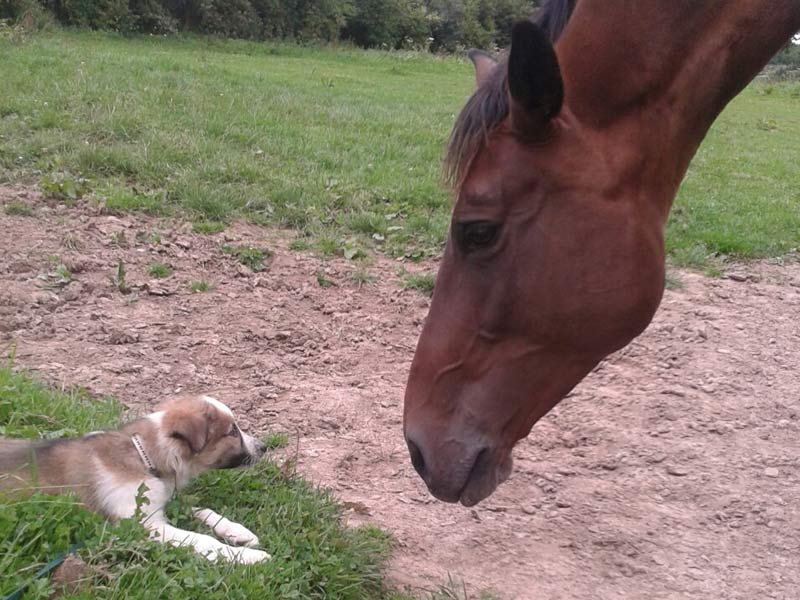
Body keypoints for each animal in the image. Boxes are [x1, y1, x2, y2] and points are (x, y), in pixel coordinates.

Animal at [0, 394, 270, 564]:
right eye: (232, 432)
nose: (264, 447)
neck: (145, 457)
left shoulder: (159, 504)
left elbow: (201, 509)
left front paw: (238, 531)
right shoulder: (143, 526)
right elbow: (201, 539)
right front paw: (248, 557)